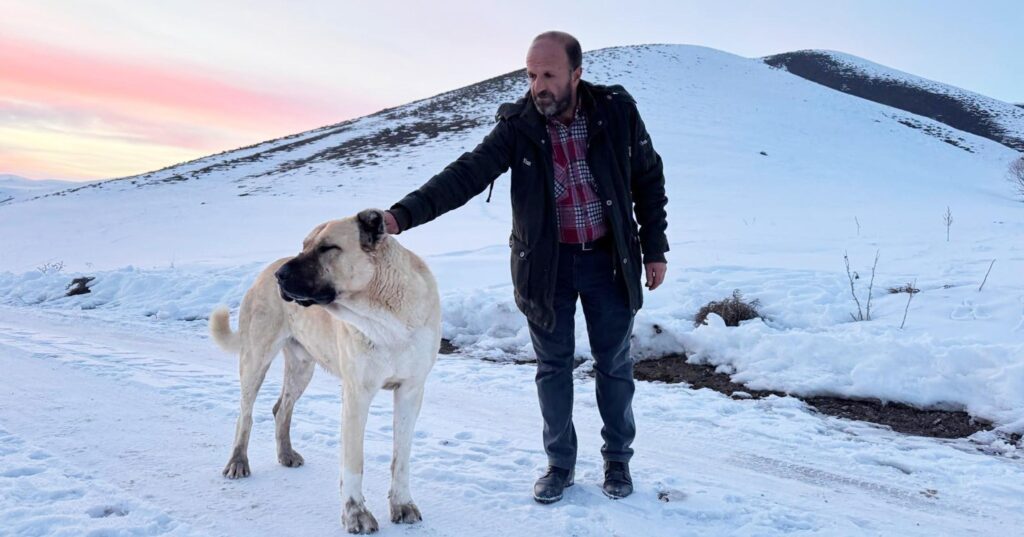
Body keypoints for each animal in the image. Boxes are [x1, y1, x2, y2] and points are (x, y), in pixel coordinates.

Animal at [209, 210, 442, 532]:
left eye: (327, 248)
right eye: (304, 245)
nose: (280, 276)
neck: (386, 314)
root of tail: (261, 274)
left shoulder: (411, 390)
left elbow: (401, 458)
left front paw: (402, 504)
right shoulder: (357, 394)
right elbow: (354, 462)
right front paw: (356, 514)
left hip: (302, 367)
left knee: (281, 408)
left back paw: (285, 454)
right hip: (255, 359)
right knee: (245, 414)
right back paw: (238, 462)